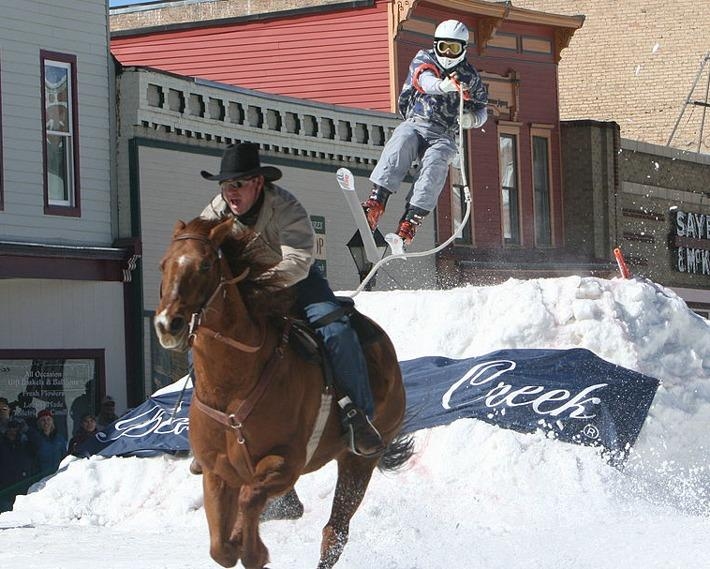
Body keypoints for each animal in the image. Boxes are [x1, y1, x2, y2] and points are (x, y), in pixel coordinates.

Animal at [153, 215, 414, 564]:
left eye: (206, 264)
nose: (168, 324)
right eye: (163, 264)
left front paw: (254, 550)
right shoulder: (216, 474)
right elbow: (221, 548)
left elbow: (250, 502)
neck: (233, 387)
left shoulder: (286, 463)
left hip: (358, 460)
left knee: (334, 532)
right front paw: (238, 541)